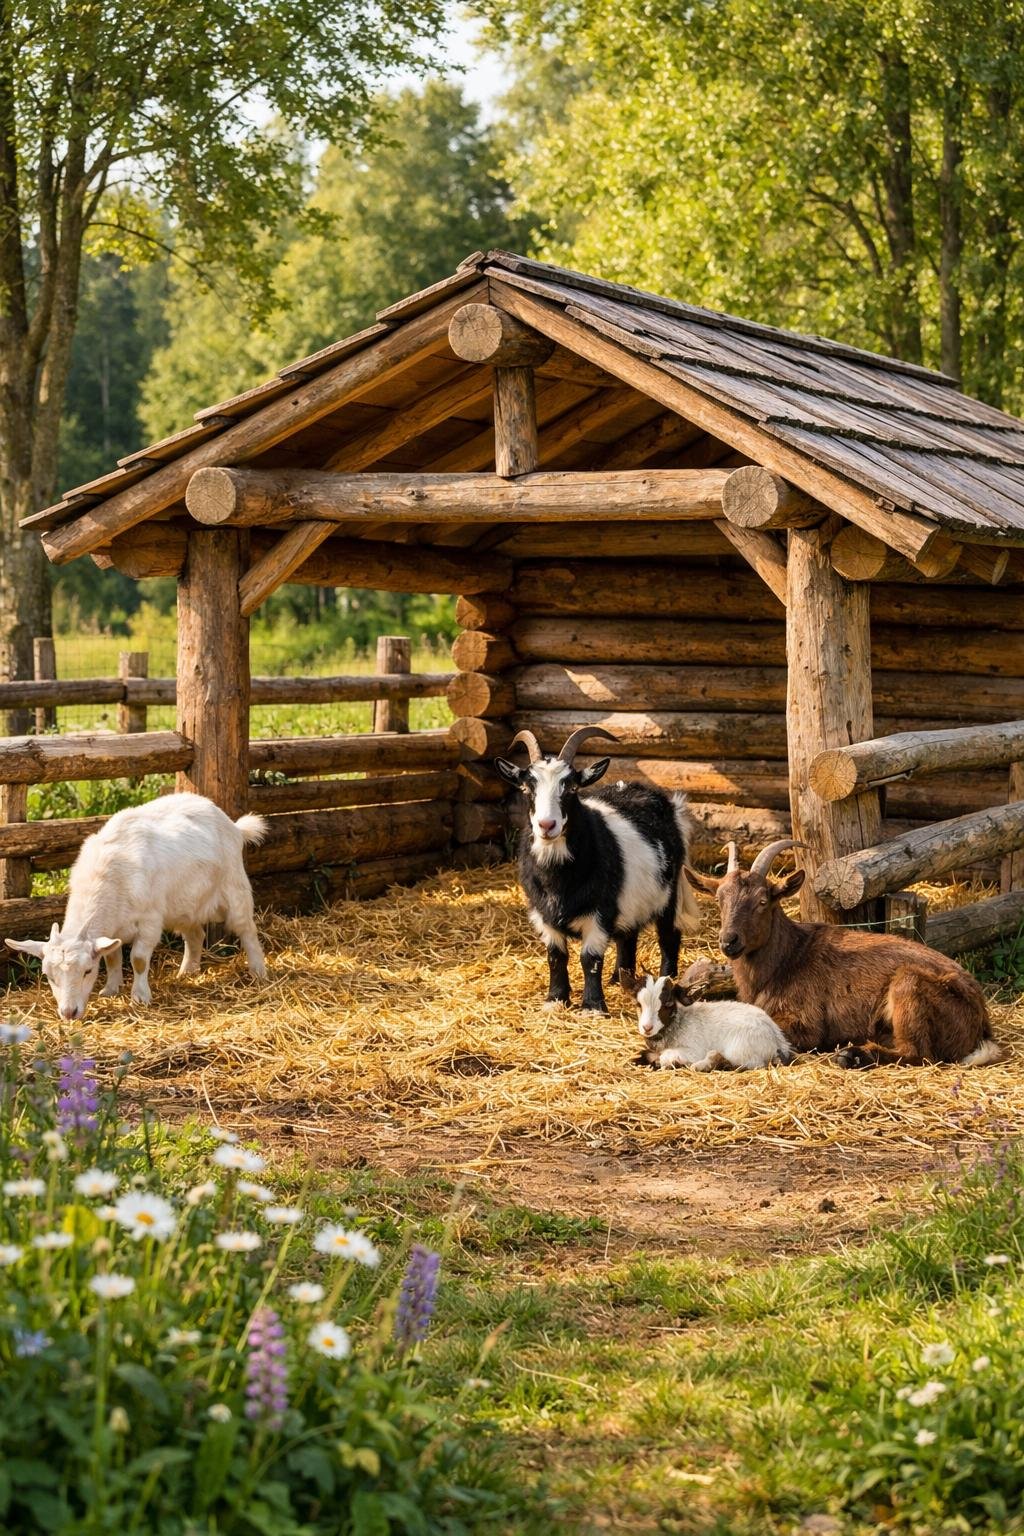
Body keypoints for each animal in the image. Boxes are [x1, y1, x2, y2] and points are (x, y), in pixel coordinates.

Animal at [5, 794, 267, 1020]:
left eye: (88, 971)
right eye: (48, 976)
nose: (69, 1013)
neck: (110, 877)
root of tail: (233, 826)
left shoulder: (150, 920)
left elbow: (138, 959)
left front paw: (140, 997)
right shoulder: (112, 931)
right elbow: (112, 958)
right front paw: (111, 989)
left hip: (235, 887)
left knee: (246, 929)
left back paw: (259, 972)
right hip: (183, 906)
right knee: (195, 935)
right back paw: (187, 972)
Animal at [495, 727, 700, 1013]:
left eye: (571, 787)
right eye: (526, 788)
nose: (547, 825)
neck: (559, 880)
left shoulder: (600, 912)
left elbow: (589, 958)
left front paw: (592, 1007)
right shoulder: (543, 914)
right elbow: (556, 957)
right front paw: (555, 1001)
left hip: (669, 893)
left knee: (669, 936)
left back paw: (665, 979)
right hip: (631, 896)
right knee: (628, 936)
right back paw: (620, 978)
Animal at [624, 971, 791, 1071]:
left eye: (668, 1004)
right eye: (638, 1004)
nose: (647, 1027)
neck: (679, 1023)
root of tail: (778, 1039)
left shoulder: (693, 1050)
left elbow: (665, 1057)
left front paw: (670, 1062)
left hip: (741, 1049)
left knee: (749, 1064)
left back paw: (702, 1065)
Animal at [685, 839, 1001, 1068]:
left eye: (763, 901)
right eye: (719, 898)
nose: (729, 941)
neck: (789, 958)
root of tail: (981, 1020)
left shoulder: (806, 1023)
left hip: (909, 985)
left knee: (918, 1053)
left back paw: (853, 1056)